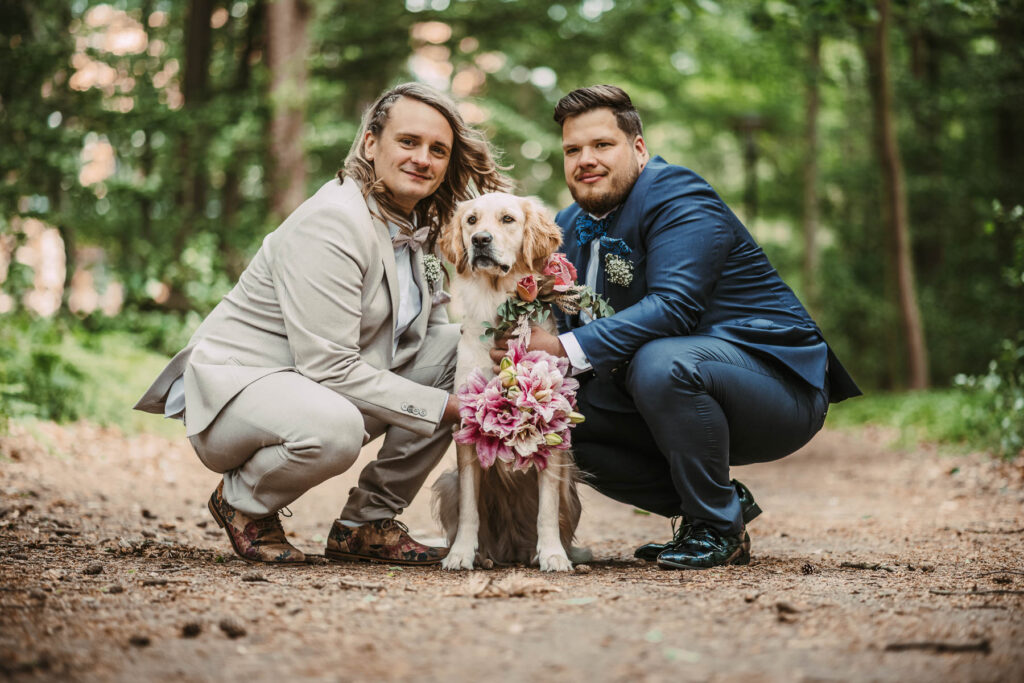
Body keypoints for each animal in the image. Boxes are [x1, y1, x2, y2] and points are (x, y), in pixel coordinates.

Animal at [434, 191, 593, 573]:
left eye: (507, 219)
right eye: (471, 221)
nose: (480, 240)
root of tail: (511, 550)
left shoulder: (555, 430)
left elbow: (547, 511)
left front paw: (552, 554)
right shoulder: (466, 427)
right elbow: (469, 510)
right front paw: (462, 554)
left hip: (572, 488)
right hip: (448, 483)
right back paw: (485, 555)